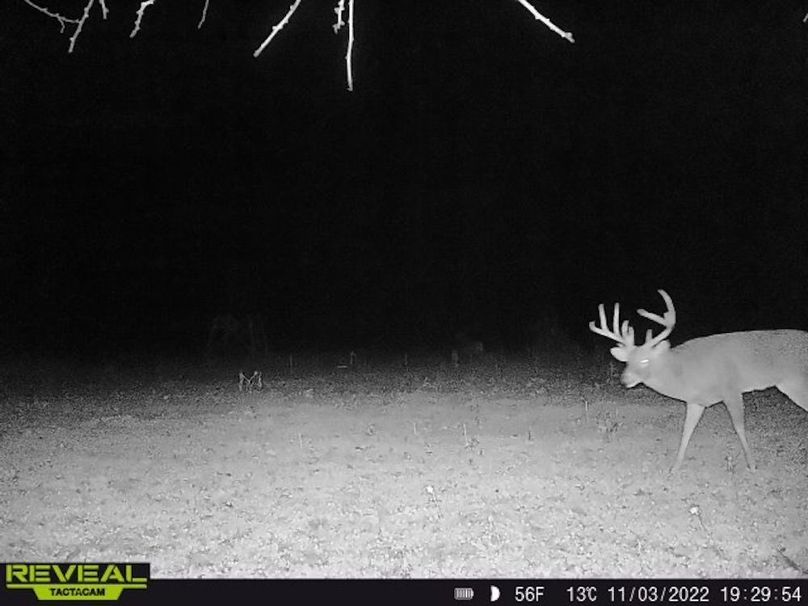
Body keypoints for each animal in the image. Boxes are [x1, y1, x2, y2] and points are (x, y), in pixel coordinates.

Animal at [589, 289, 808, 473]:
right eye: (626, 361)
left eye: (645, 360)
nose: (624, 380)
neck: (686, 372)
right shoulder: (696, 401)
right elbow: (687, 430)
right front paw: (674, 467)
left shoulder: (731, 389)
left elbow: (739, 427)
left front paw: (752, 465)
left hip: (797, 382)